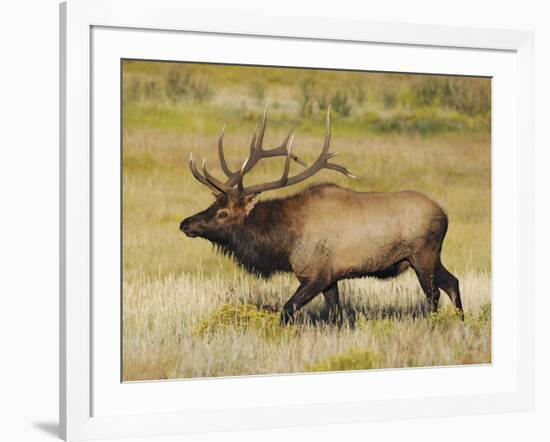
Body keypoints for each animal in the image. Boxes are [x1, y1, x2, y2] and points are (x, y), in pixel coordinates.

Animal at [179, 105, 464, 322]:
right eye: (212, 205)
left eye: (223, 213)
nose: (185, 223)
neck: (285, 242)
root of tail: (445, 214)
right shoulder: (331, 277)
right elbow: (336, 315)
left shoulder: (316, 274)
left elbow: (287, 310)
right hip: (430, 257)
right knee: (453, 282)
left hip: (422, 255)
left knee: (434, 294)